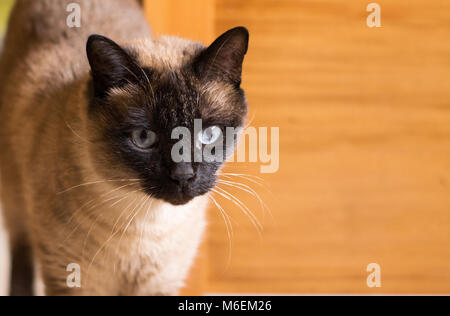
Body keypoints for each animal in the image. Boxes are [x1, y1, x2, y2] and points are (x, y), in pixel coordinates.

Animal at [0, 0, 250, 296]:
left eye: (209, 134)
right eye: (143, 137)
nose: (183, 176)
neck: (147, 225)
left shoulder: (159, 284)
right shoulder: (73, 282)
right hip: (17, 208)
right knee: (21, 258)